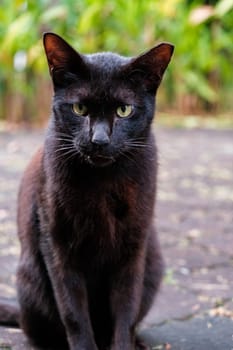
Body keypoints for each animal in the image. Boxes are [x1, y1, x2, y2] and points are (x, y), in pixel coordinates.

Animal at [0, 31, 172, 348]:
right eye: (79, 109)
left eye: (124, 110)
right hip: (30, 278)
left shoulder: (134, 245)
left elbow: (126, 311)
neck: (102, 184)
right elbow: (74, 312)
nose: (99, 140)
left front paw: (124, 345)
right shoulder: (56, 243)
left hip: (153, 262)